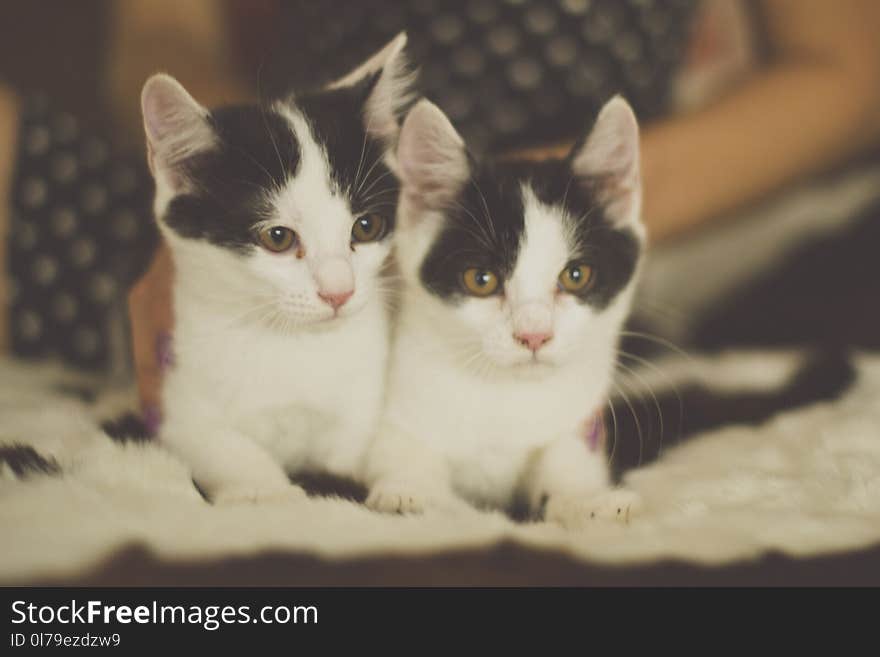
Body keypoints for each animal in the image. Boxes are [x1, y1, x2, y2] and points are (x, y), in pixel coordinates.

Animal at [143, 33, 418, 504]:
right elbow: (218, 444)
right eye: (278, 238)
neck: (292, 346)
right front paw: (264, 490)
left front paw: (401, 488)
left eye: (365, 227)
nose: (339, 291)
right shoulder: (181, 407)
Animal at [364, 95, 648, 524]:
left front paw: (588, 501)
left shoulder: (580, 423)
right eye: (481, 280)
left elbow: (563, 472)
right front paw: (411, 492)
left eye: (576, 275)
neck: (508, 396)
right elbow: (405, 452)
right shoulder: (397, 411)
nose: (533, 334)